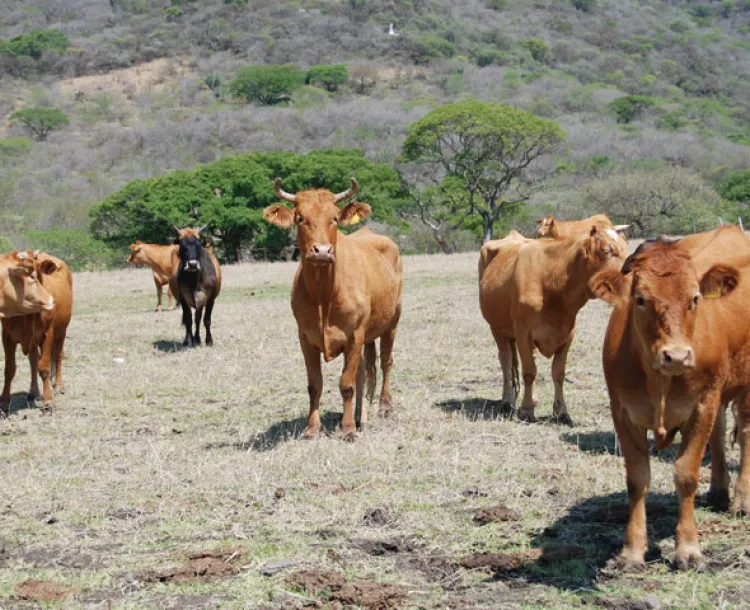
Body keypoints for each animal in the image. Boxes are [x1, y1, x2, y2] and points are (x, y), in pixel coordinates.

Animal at [0, 249, 73, 410]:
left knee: (58, 355)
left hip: (61, 332)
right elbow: (9, 370)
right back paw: (33, 391)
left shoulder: (47, 334)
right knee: (33, 361)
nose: (50, 301)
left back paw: (58, 385)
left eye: (35, 273)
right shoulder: (7, 337)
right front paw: (4, 404)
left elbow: (44, 367)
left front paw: (48, 401)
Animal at [266, 178, 406, 440]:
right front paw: (312, 428)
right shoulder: (305, 338)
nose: (322, 251)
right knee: (364, 371)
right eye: (300, 218)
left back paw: (384, 406)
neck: (324, 295)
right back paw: (362, 414)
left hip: (392, 323)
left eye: (333, 218)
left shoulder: (354, 336)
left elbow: (346, 384)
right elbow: (315, 385)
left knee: (386, 362)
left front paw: (348, 428)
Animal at [482, 221, 628, 426]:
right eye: (607, 250)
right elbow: (529, 372)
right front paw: (526, 411)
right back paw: (507, 400)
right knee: (505, 360)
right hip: (497, 328)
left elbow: (558, 373)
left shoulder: (567, 334)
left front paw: (561, 412)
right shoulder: (523, 333)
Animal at [592, 223, 750, 568]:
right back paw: (718, 491)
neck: (659, 382)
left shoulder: (702, 404)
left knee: (745, 434)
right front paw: (632, 551)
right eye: (640, 299)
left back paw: (741, 500)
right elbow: (637, 478)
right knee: (719, 433)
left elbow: (686, 474)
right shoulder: (622, 412)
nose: (676, 356)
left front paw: (688, 549)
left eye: (695, 298)